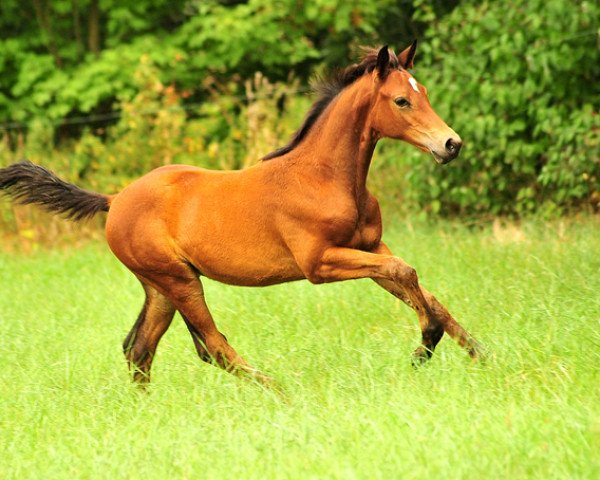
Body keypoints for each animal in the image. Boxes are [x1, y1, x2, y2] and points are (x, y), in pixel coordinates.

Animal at [0, 42, 480, 386]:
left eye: (424, 94)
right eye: (401, 101)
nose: (451, 144)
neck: (323, 177)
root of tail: (114, 199)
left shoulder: (370, 247)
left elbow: (419, 286)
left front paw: (478, 354)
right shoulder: (320, 262)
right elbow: (407, 271)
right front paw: (424, 347)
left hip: (160, 286)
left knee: (139, 349)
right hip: (180, 281)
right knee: (210, 345)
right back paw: (279, 391)